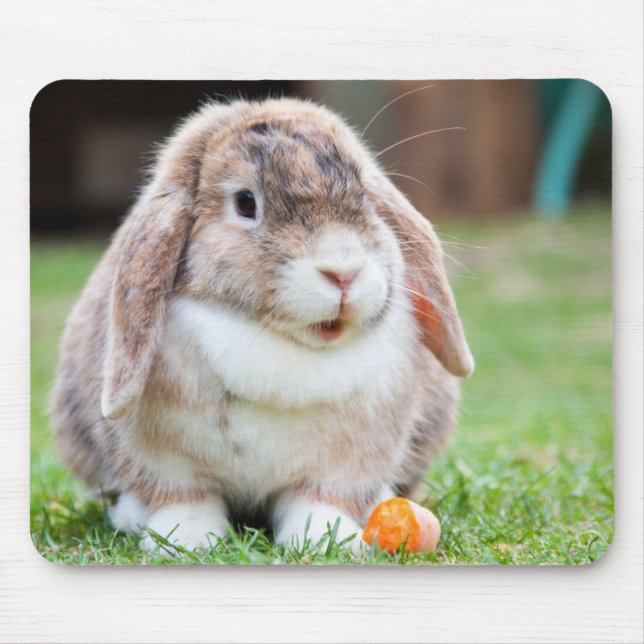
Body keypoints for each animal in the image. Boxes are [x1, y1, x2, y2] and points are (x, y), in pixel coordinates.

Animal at [50, 97, 474, 554]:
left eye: (364, 193)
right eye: (245, 203)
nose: (343, 272)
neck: (279, 342)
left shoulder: (343, 465)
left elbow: (319, 501)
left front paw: (327, 540)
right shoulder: (166, 463)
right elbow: (185, 500)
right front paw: (184, 541)